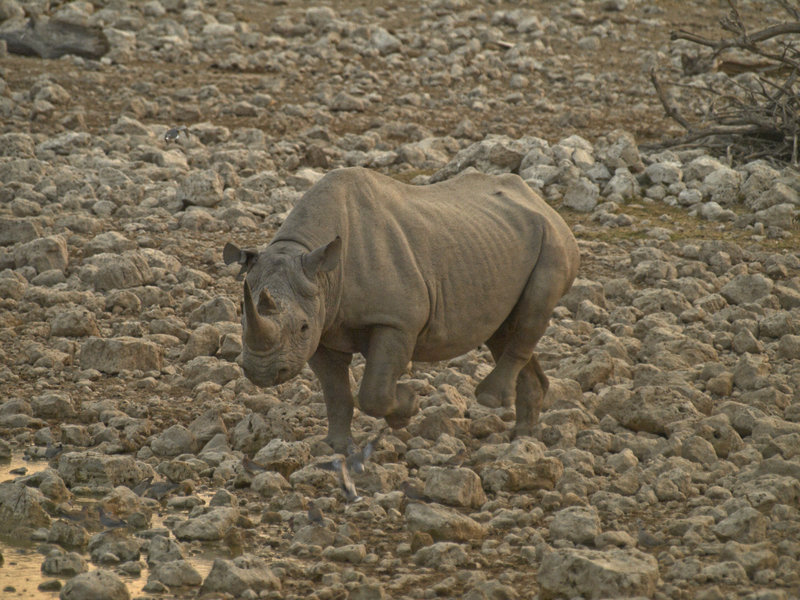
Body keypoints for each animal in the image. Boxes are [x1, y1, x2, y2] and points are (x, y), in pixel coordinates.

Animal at [224, 167, 579, 451]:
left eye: (301, 327)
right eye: (241, 319)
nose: (262, 373)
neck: (318, 265)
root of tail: (540, 202)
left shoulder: (397, 321)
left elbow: (374, 392)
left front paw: (407, 406)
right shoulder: (323, 326)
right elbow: (336, 393)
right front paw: (336, 447)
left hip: (553, 241)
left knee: (529, 316)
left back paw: (492, 402)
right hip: (499, 243)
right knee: (502, 330)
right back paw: (523, 435)